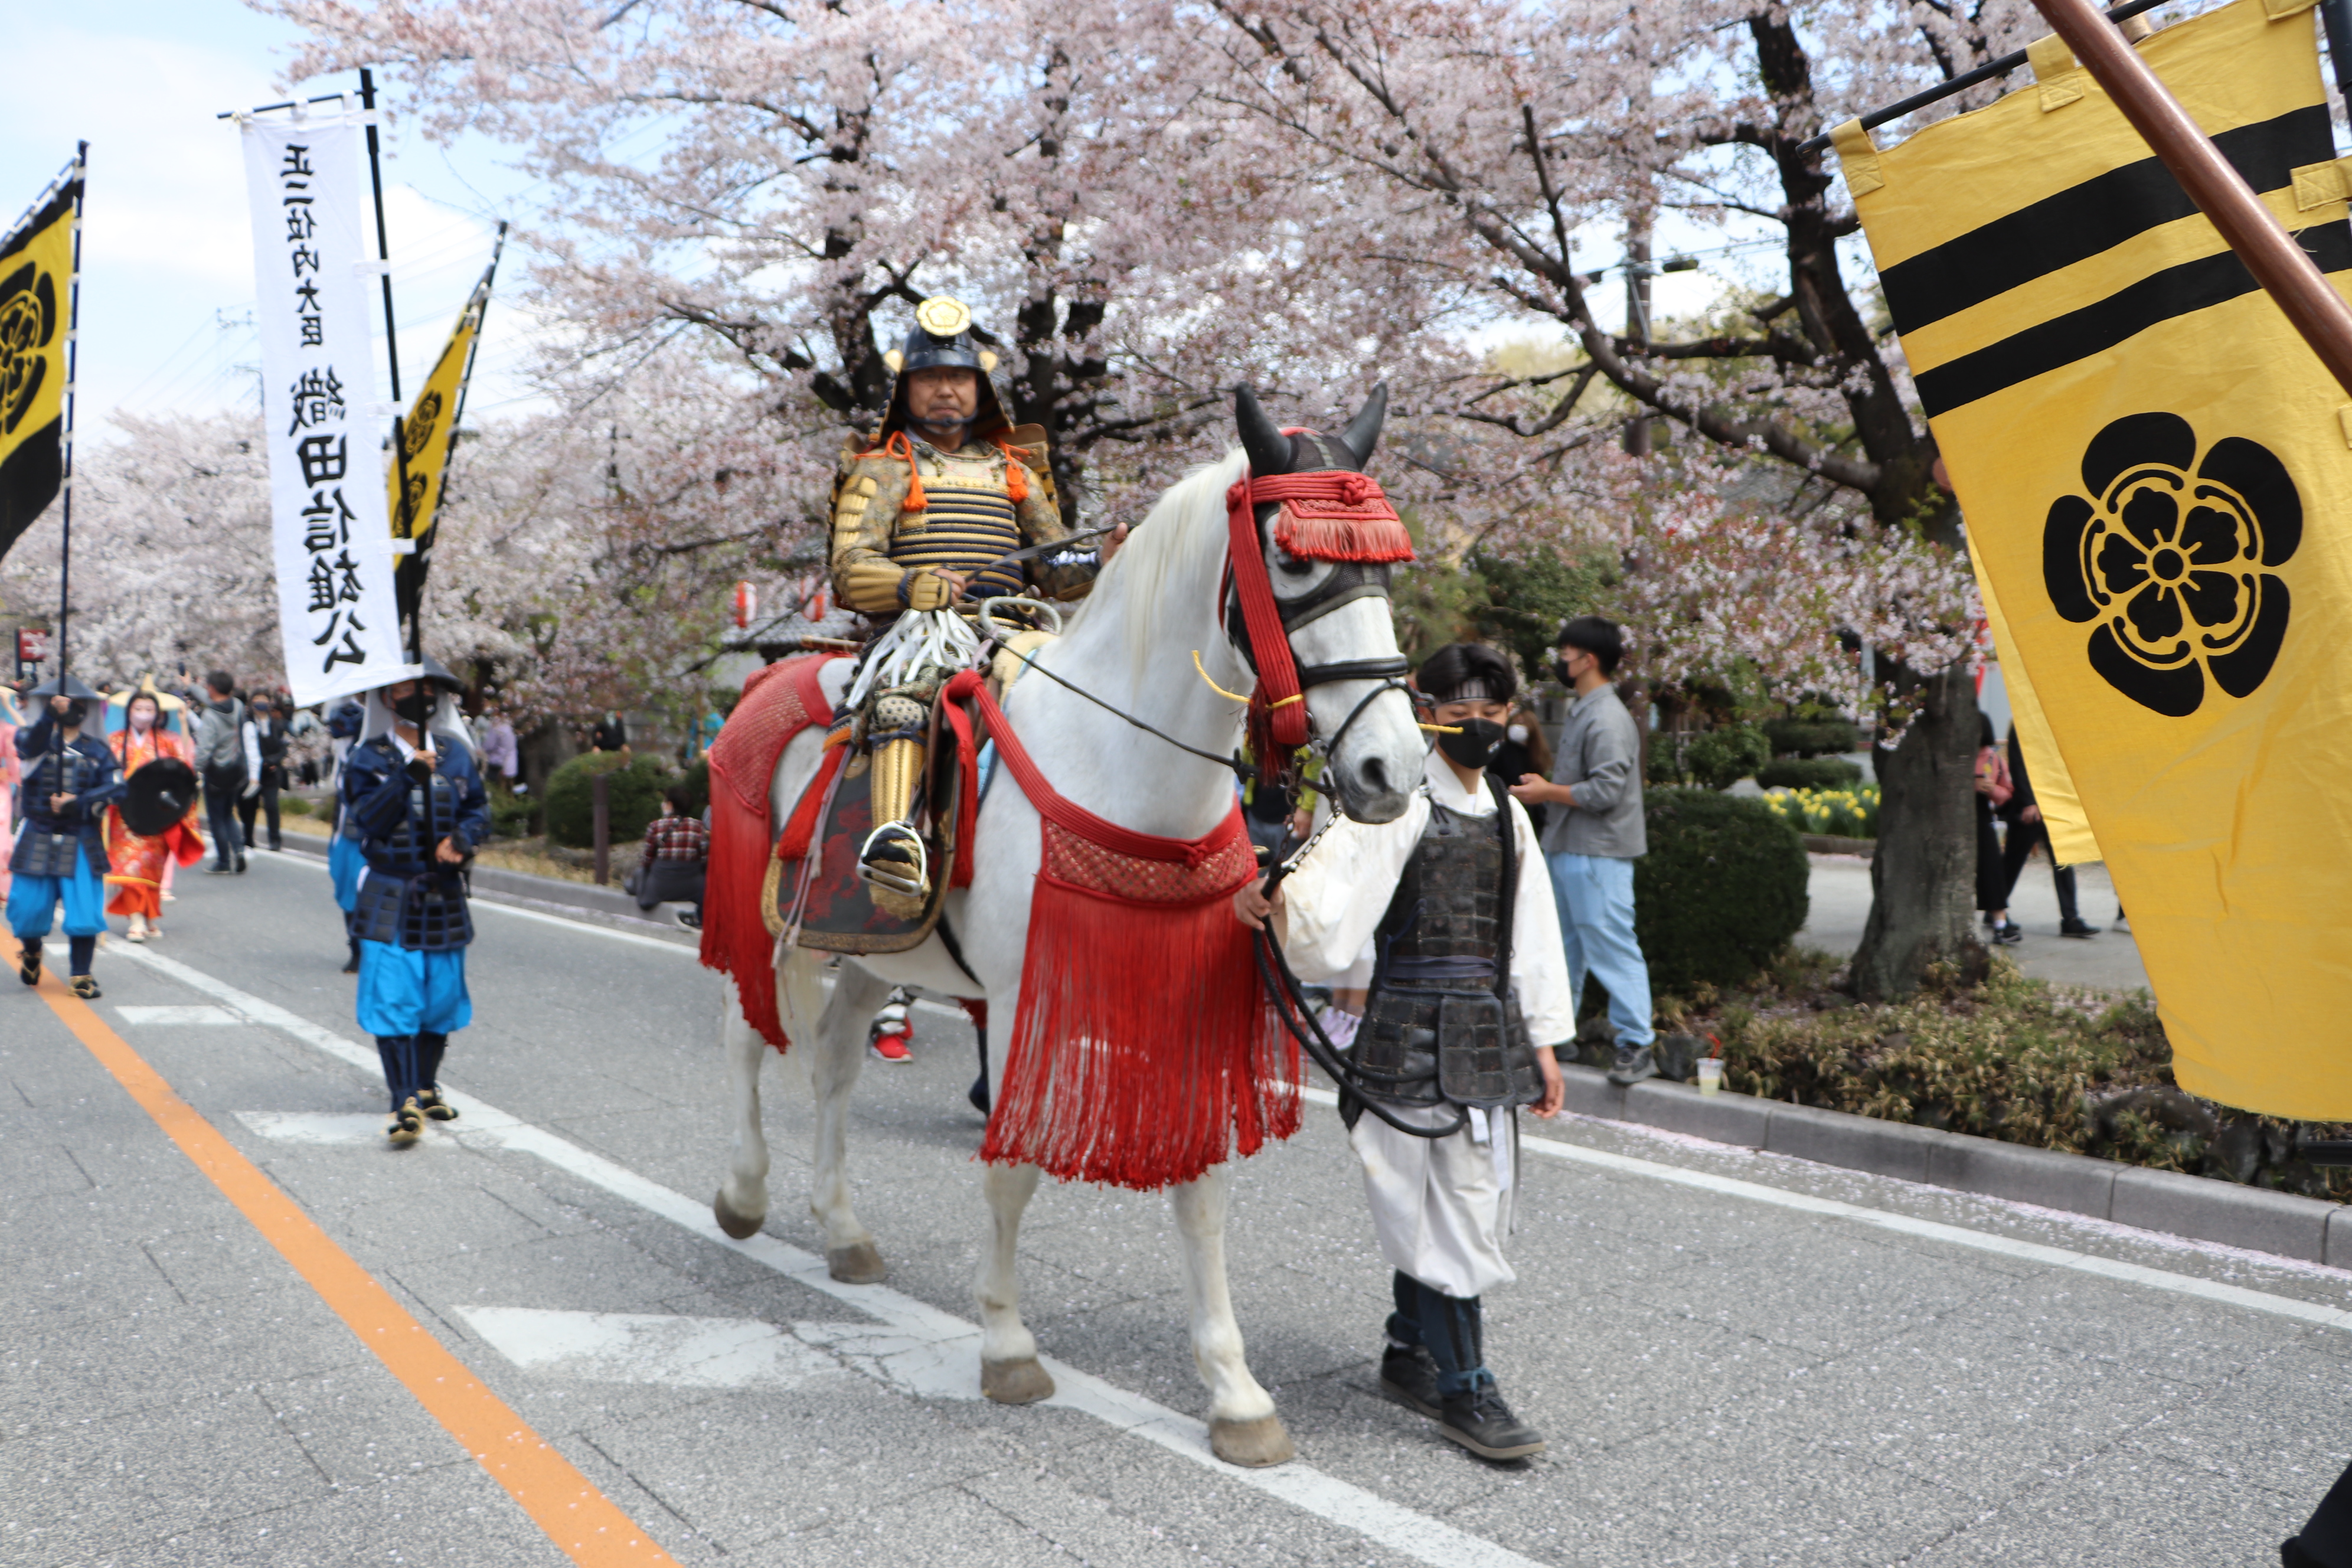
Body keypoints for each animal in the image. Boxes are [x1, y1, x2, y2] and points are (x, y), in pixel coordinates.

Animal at [705, 386, 1420, 1466]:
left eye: (1385, 564)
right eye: (1294, 562)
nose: (1394, 769)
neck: (1120, 762)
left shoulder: (1178, 1001)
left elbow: (1202, 1193)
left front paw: (1235, 1395)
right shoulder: (1018, 1001)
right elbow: (1012, 1175)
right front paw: (1007, 1346)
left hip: (872, 946)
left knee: (831, 1062)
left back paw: (841, 1229)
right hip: (777, 926)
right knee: (750, 1036)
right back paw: (744, 1194)